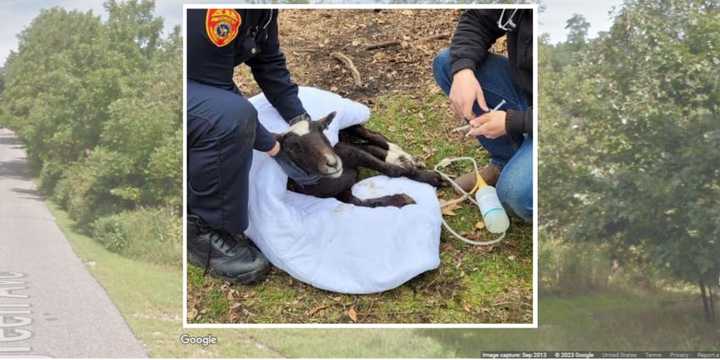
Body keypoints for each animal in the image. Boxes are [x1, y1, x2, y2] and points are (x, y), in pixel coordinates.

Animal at [278, 112, 442, 208]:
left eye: (321, 131)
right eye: (293, 148)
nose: (332, 163)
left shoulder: (349, 153)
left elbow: (391, 170)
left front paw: (430, 178)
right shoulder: (340, 193)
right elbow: (358, 202)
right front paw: (399, 199)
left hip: (349, 128)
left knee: (373, 136)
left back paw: (405, 157)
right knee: (370, 145)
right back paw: (400, 158)